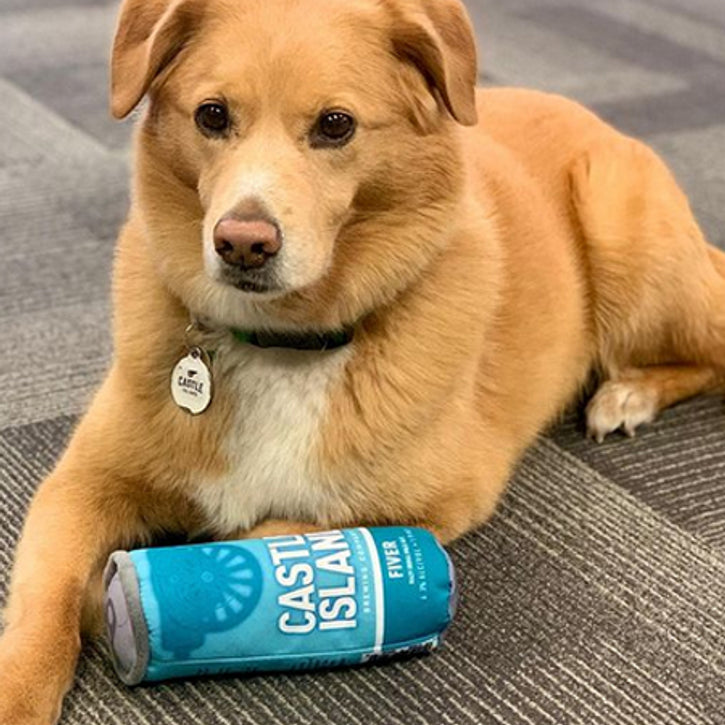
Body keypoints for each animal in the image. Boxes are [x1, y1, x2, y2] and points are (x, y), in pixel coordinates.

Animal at [1, 0, 724, 720]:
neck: (282, 342)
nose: (242, 243)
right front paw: (26, 678)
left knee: (708, 349)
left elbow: (260, 535)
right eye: (211, 115)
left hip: (625, 243)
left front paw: (146, 591)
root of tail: (593, 117)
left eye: (335, 125)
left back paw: (627, 394)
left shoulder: (436, 500)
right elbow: (44, 598)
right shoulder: (79, 483)